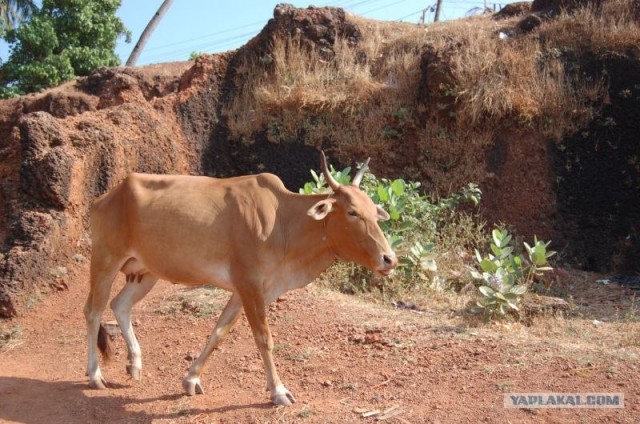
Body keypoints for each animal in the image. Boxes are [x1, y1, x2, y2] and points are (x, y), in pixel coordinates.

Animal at [84, 152, 396, 404]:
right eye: (352, 212)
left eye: (374, 212)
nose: (389, 259)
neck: (284, 223)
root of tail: (106, 197)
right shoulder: (250, 285)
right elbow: (264, 338)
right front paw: (278, 391)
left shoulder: (247, 290)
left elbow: (219, 333)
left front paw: (191, 379)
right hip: (105, 260)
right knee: (93, 311)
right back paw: (95, 374)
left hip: (146, 273)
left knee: (120, 305)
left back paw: (134, 364)